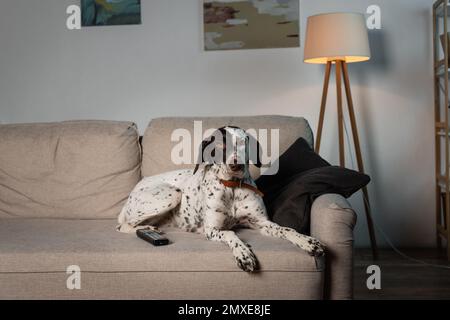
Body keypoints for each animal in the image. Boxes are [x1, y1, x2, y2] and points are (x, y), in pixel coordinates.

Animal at [118, 126, 326, 272]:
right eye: (219, 146)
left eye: (242, 143)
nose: (236, 165)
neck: (232, 188)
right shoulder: (213, 230)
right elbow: (231, 233)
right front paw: (244, 253)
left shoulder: (262, 223)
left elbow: (285, 229)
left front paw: (307, 241)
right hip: (173, 193)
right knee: (122, 226)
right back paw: (147, 228)